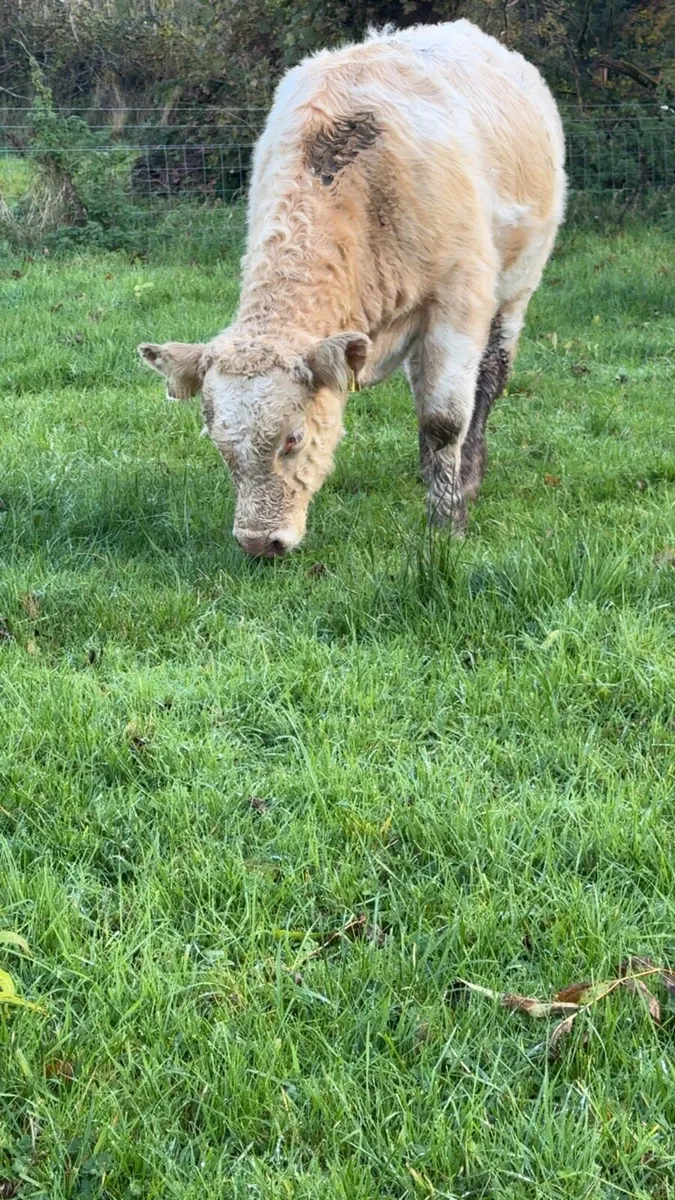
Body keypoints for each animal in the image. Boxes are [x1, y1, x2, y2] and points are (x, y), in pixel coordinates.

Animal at [139, 20, 566, 558]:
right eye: (218, 443)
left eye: (293, 438)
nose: (259, 543)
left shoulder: (458, 300)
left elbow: (444, 420)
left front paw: (446, 524)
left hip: (517, 287)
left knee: (489, 380)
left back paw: (467, 474)